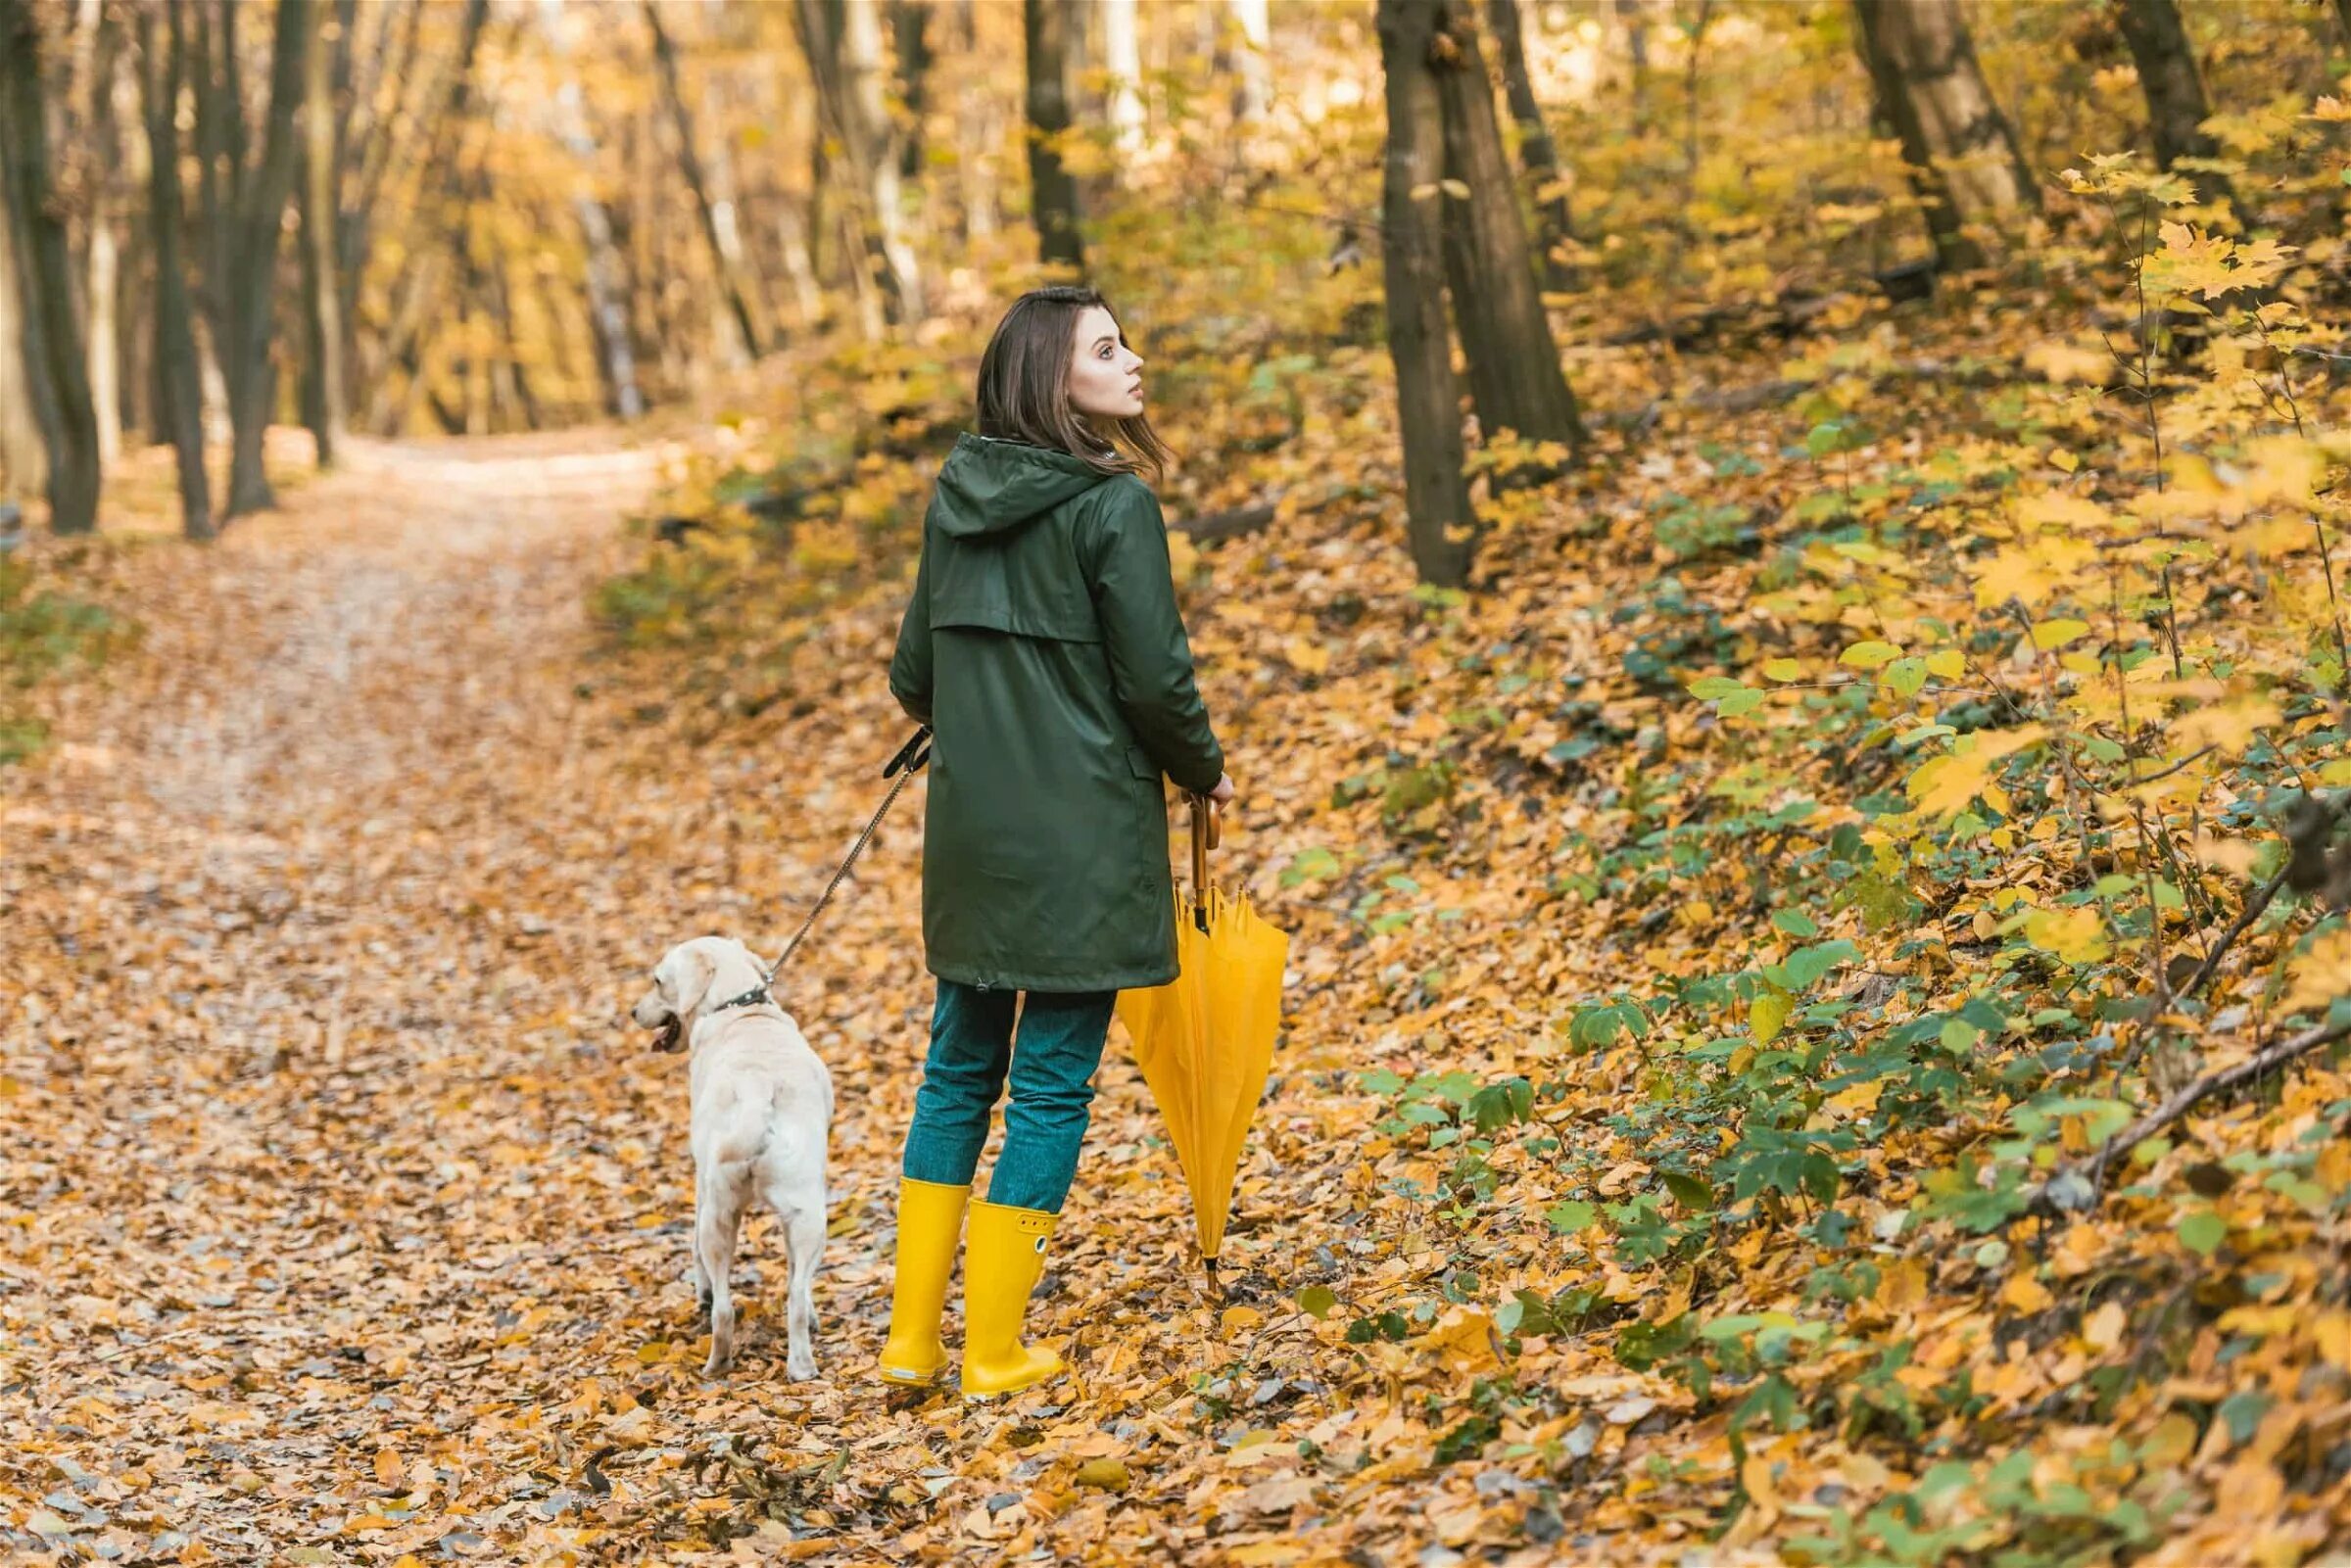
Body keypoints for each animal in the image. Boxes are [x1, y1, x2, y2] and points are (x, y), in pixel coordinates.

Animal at [635, 940, 837, 1382]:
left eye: (657, 981)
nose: (633, 1012)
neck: (739, 1009)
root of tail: (759, 1090)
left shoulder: (700, 1184)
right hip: (810, 1217)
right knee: (797, 1296)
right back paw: (802, 1367)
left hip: (717, 1215)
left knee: (724, 1308)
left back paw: (716, 1364)